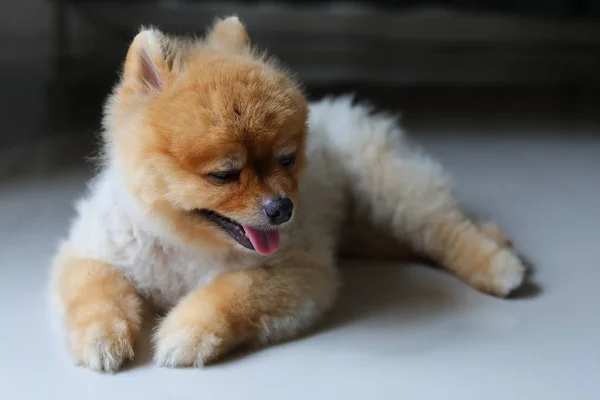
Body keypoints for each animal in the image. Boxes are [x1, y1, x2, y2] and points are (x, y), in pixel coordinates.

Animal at [50, 15, 524, 372]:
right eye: (224, 174)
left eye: (286, 160)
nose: (282, 208)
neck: (185, 244)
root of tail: (347, 110)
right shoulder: (92, 251)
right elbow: (95, 290)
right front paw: (101, 339)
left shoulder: (298, 272)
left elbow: (231, 293)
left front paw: (186, 332)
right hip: (370, 226)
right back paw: (495, 236)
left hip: (391, 191)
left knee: (443, 227)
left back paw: (498, 263)